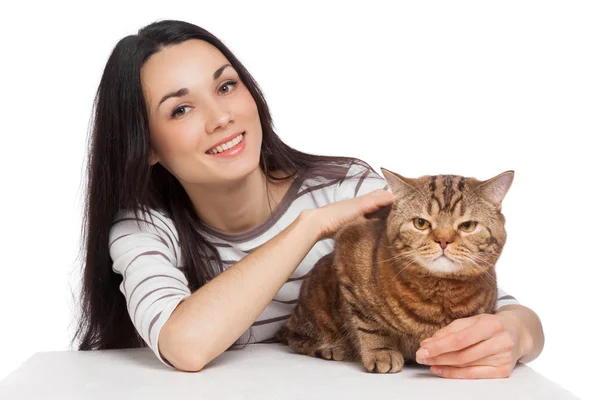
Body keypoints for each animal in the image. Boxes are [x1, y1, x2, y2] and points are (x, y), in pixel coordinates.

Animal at [276, 167, 516, 374]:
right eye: (421, 223)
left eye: (467, 226)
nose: (443, 240)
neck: (439, 293)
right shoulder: (348, 252)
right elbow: (369, 323)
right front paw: (381, 352)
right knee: (296, 337)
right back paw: (334, 347)